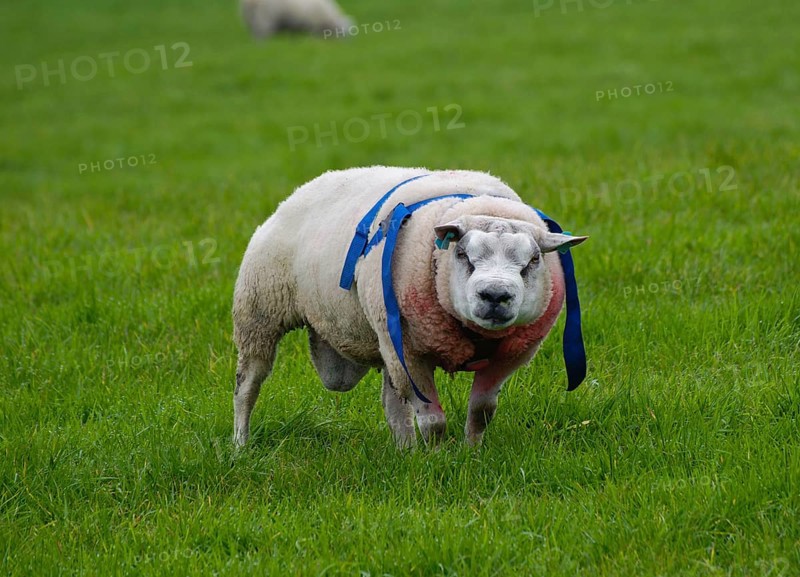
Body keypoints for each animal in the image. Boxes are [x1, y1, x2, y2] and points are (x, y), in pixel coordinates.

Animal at [232, 166, 588, 447]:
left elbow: (481, 412)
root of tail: (306, 187)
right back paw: (241, 447)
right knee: (246, 387)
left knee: (392, 403)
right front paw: (437, 458)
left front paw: (472, 452)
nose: (495, 295)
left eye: (533, 260)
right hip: (259, 314)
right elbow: (433, 422)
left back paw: (405, 451)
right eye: (462, 255)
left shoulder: (510, 357)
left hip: (381, 339)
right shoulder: (411, 352)